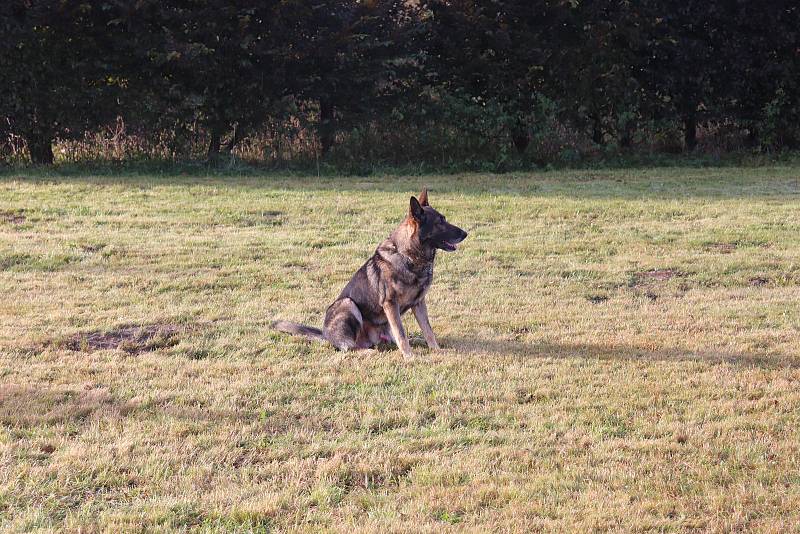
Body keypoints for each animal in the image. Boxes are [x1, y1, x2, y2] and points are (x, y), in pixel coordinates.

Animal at [272, 188, 466, 360]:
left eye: (444, 219)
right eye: (439, 222)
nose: (466, 233)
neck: (409, 256)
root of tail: (326, 335)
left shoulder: (419, 303)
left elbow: (428, 330)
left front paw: (436, 350)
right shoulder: (390, 304)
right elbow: (401, 334)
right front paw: (409, 357)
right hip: (347, 304)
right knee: (349, 348)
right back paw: (369, 352)